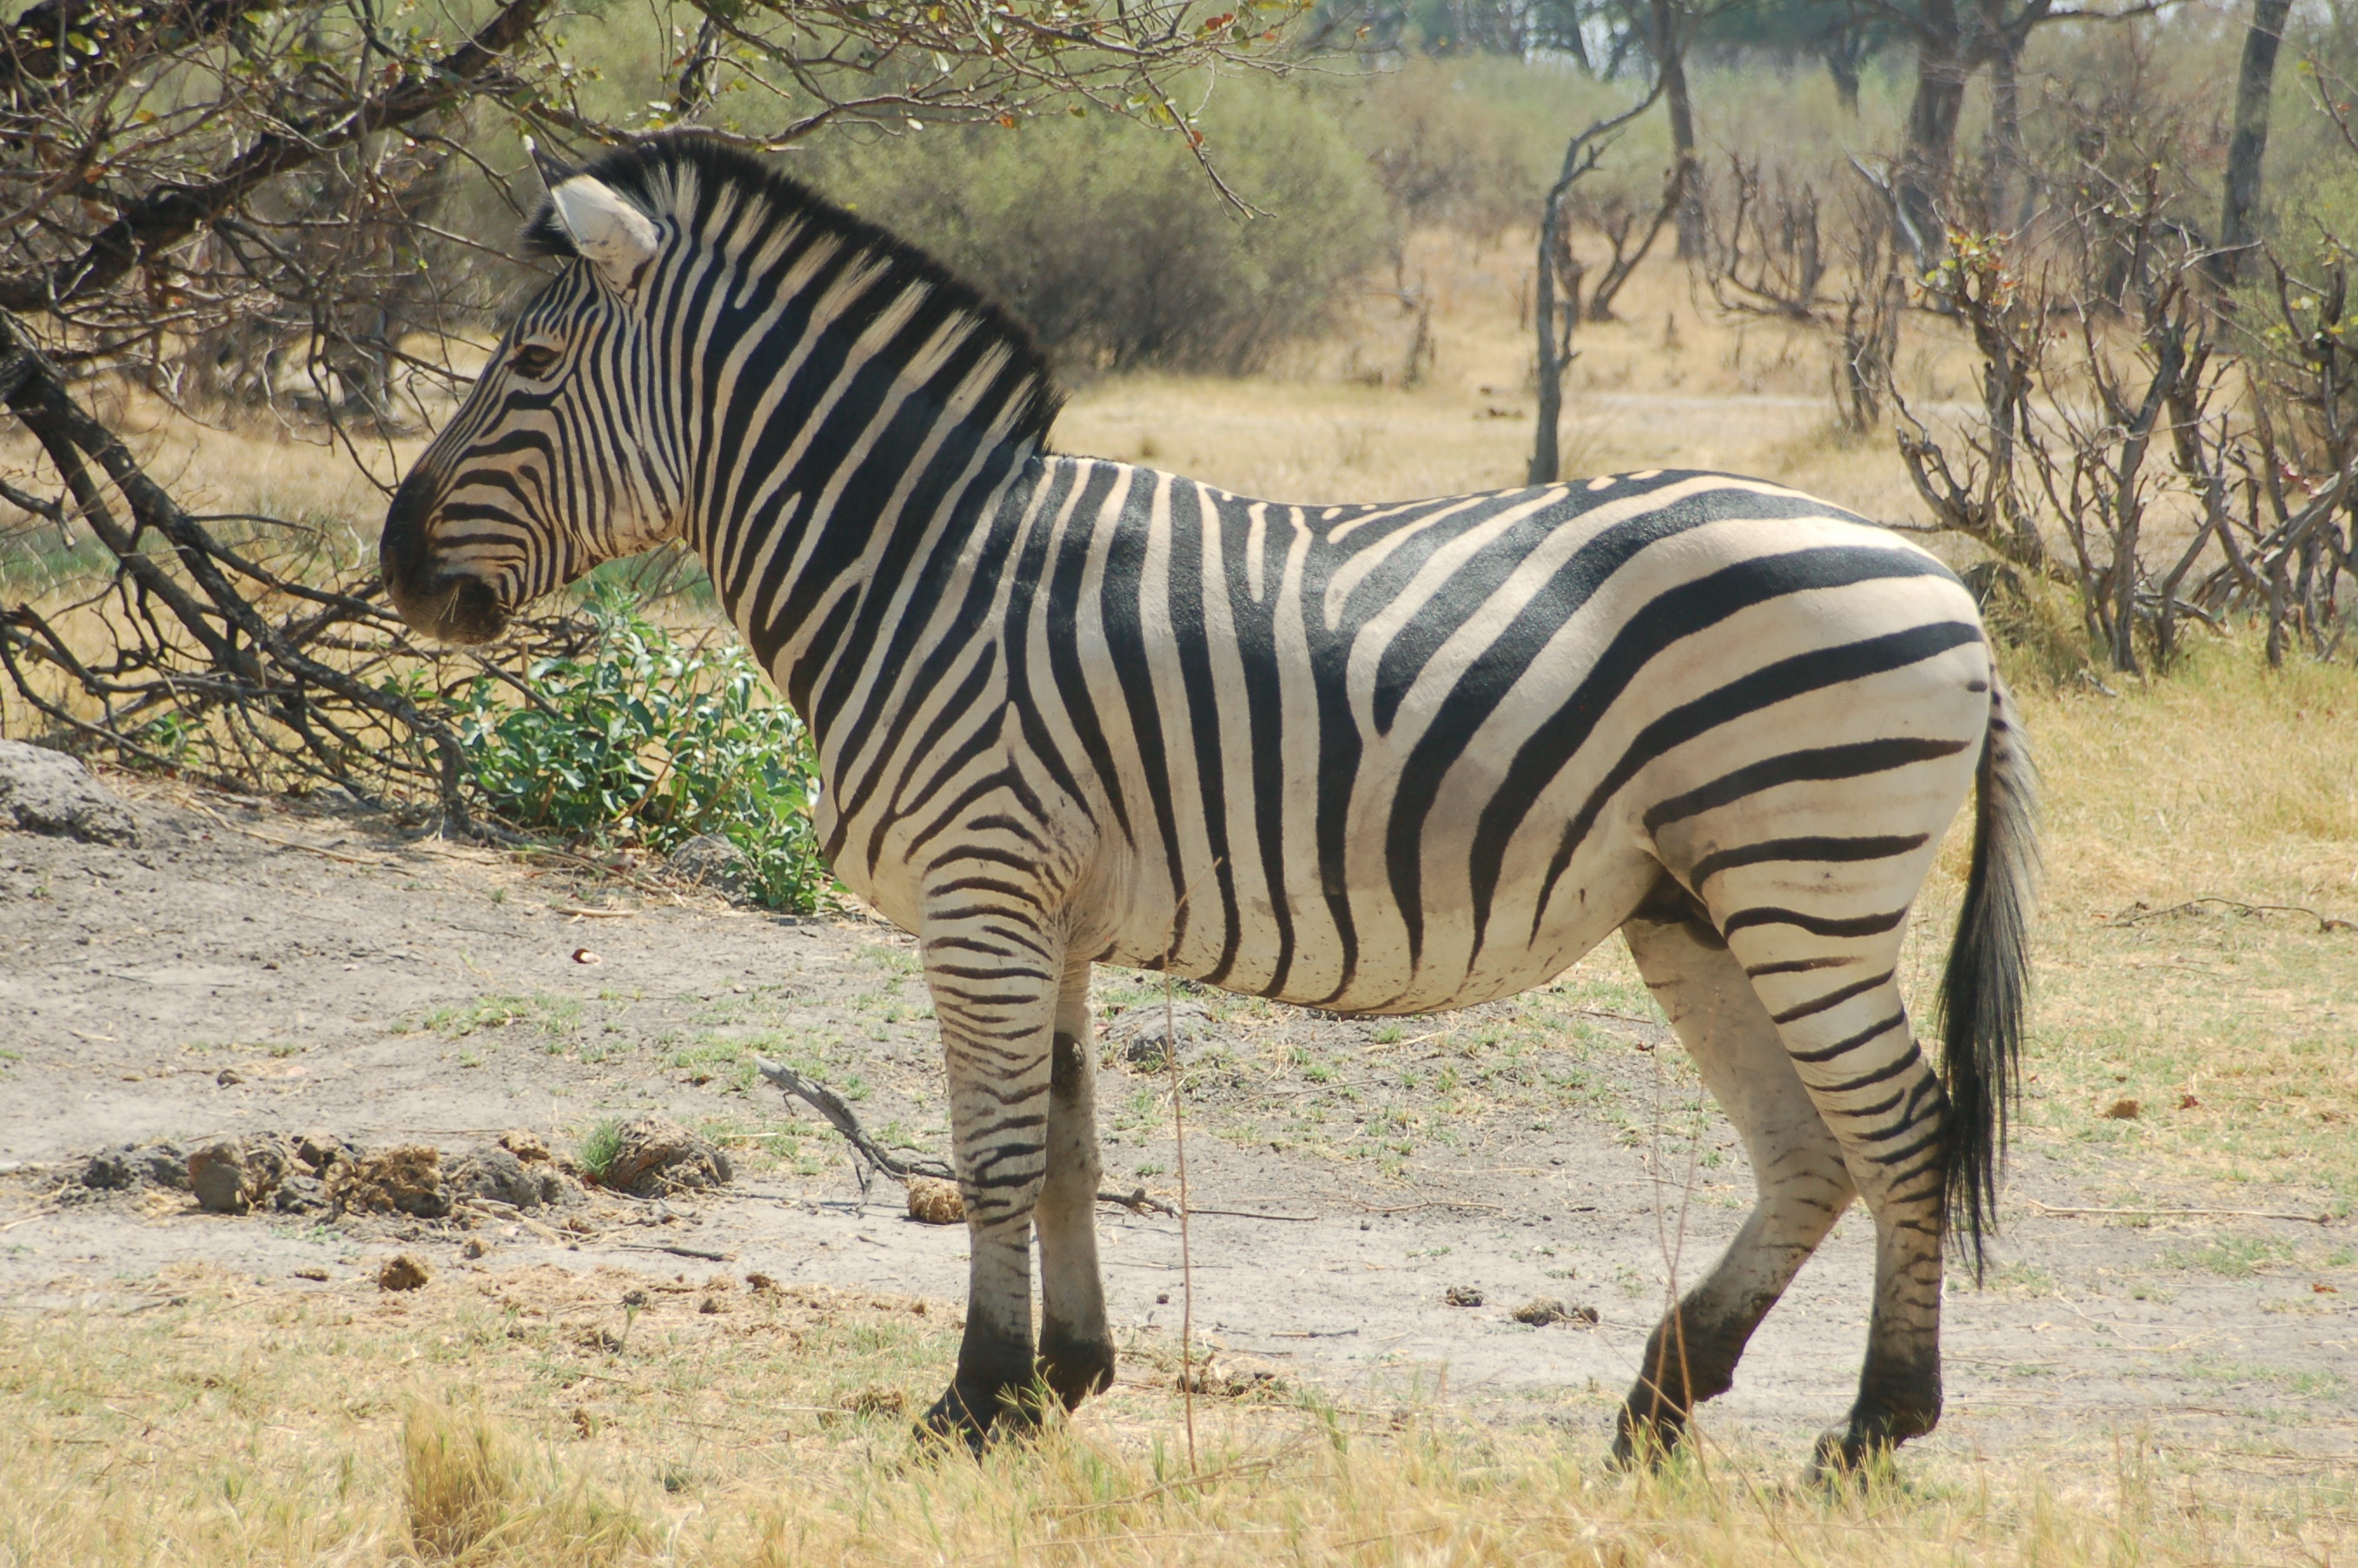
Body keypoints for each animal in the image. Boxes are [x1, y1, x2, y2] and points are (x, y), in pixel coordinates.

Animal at [380, 134, 2036, 1475]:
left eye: (527, 372)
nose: (393, 567)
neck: (916, 569)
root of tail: (1940, 579)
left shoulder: (979, 891)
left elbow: (989, 1156)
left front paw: (970, 1401)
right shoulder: (1038, 909)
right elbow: (1062, 1145)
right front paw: (1060, 1380)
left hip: (1802, 873)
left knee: (1900, 1132)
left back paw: (1872, 1429)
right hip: (1694, 900)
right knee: (1811, 1149)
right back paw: (1656, 1404)